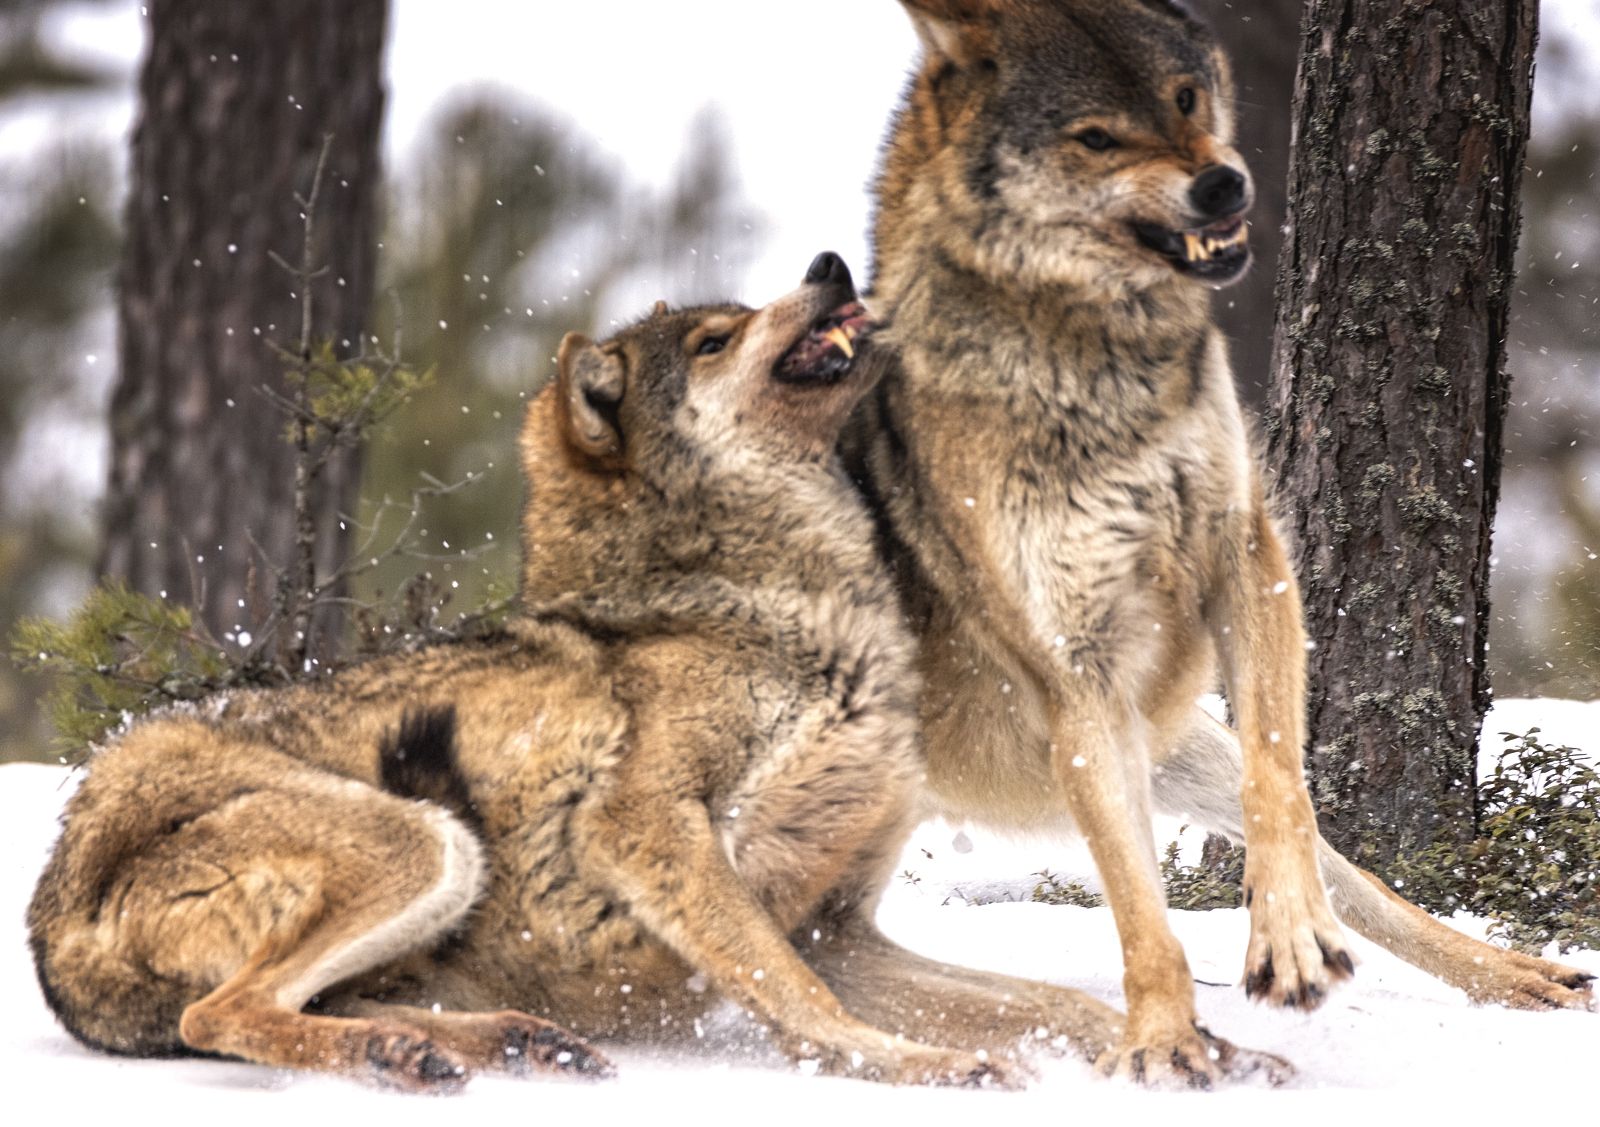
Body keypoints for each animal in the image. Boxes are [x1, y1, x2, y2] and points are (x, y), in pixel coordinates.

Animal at [844, 0, 1593, 1088]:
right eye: (1095, 138)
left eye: (1187, 99)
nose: (1225, 184)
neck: (1098, 380)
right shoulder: (1076, 677)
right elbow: (1138, 911)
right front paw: (1163, 1040)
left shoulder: (1249, 561)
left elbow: (1283, 789)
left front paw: (1285, 947)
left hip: (1185, 746)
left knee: (1358, 876)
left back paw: (1518, 976)